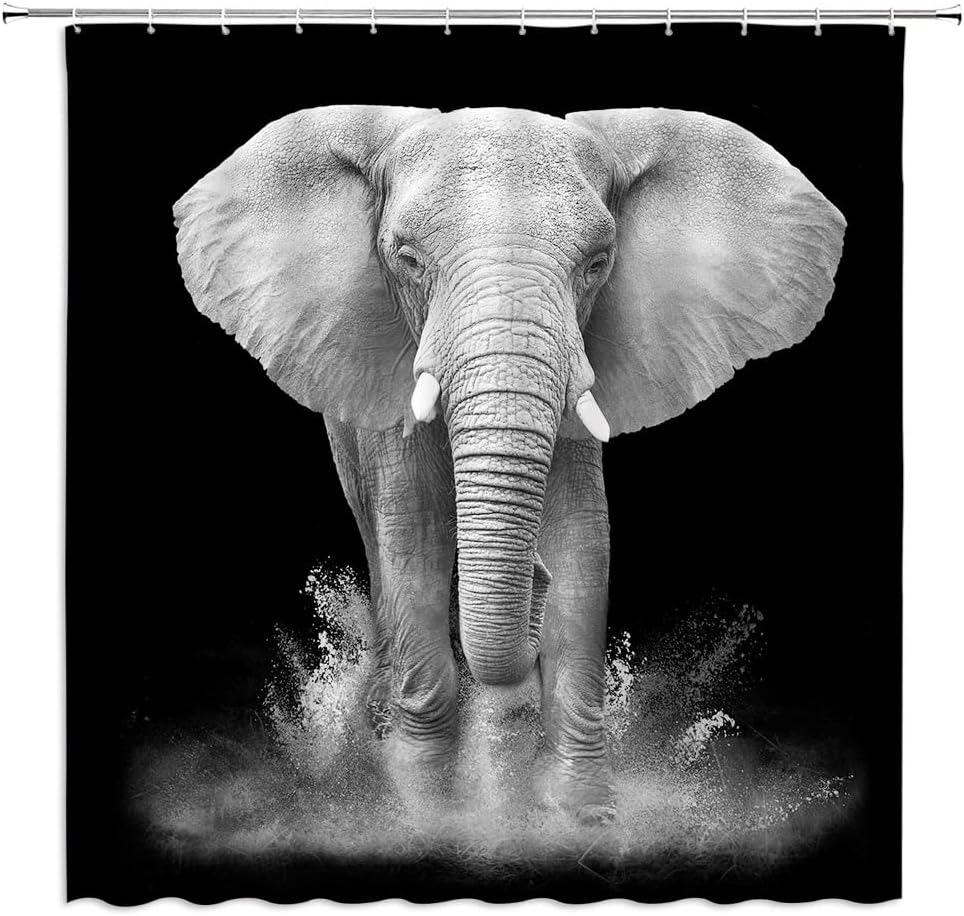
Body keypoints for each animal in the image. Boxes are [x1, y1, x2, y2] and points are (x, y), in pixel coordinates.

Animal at [174, 105, 845, 823]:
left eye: (598, 264)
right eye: (406, 259)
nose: (533, 581)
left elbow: (583, 539)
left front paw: (582, 814)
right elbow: (414, 533)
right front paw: (423, 808)